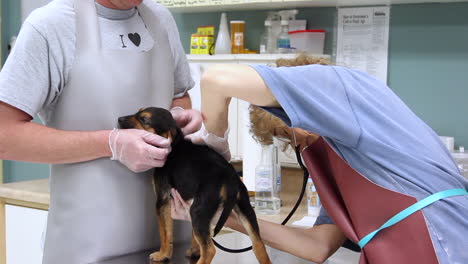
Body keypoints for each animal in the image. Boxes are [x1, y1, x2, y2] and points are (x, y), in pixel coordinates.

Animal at [118, 106, 270, 262]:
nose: (119, 119)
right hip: (244, 208)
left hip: (198, 210)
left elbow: (165, 232)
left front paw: (162, 254)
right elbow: (190, 234)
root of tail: (229, 177)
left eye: (144, 119)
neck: (174, 143)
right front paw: (195, 250)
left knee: (210, 250)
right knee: (258, 243)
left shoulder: (162, 201)